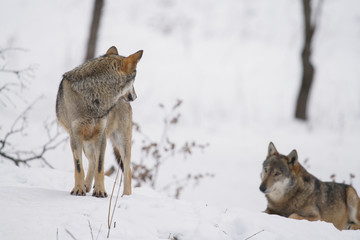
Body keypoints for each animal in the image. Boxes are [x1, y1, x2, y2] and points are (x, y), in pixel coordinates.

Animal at [55, 46, 143, 198]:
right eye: (133, 83)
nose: (135, 96)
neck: (94, 96)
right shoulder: (75, 136)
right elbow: (79, 166)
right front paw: (78, 189)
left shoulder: (101, 135)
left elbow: (100, 166)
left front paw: (100, 191)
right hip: (87, 144)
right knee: (92, 161)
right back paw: (87, 186)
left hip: (121, 142)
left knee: (127, 170)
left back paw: (126, 196)